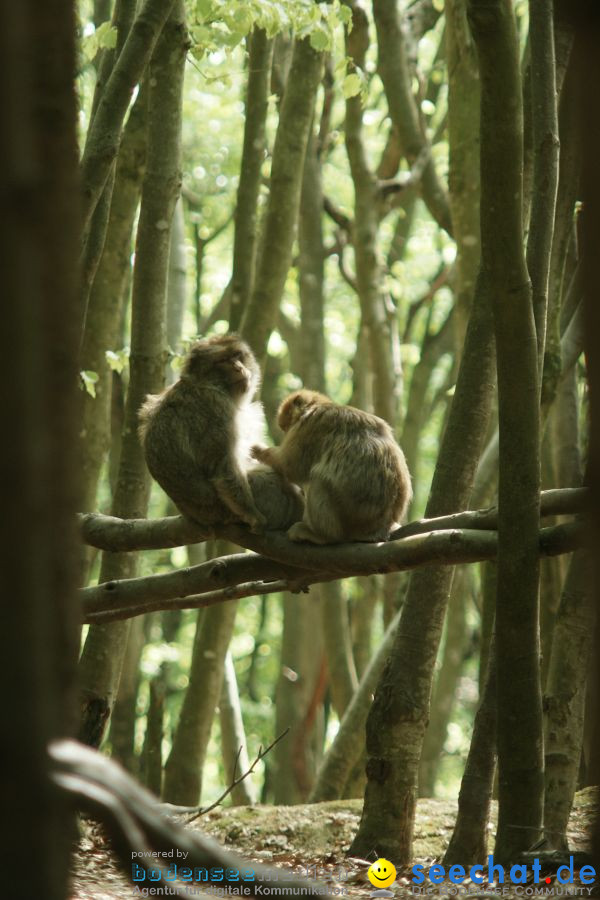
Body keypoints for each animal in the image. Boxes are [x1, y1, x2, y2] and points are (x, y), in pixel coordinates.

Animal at [138, 336, 302, 536]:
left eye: (237, 356)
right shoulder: (217, 407)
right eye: (223, 360)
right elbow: (222, 468)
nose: (239, 367)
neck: (207, 384)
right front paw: (253, 516)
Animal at [250, 386, 412, 540]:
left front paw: (257, 450)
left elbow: (291, 466)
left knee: (317, 480)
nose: (286, 434)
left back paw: (323, 536)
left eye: (286, 427)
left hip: (349, 517)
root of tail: (381, 526)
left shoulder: (310, 426)